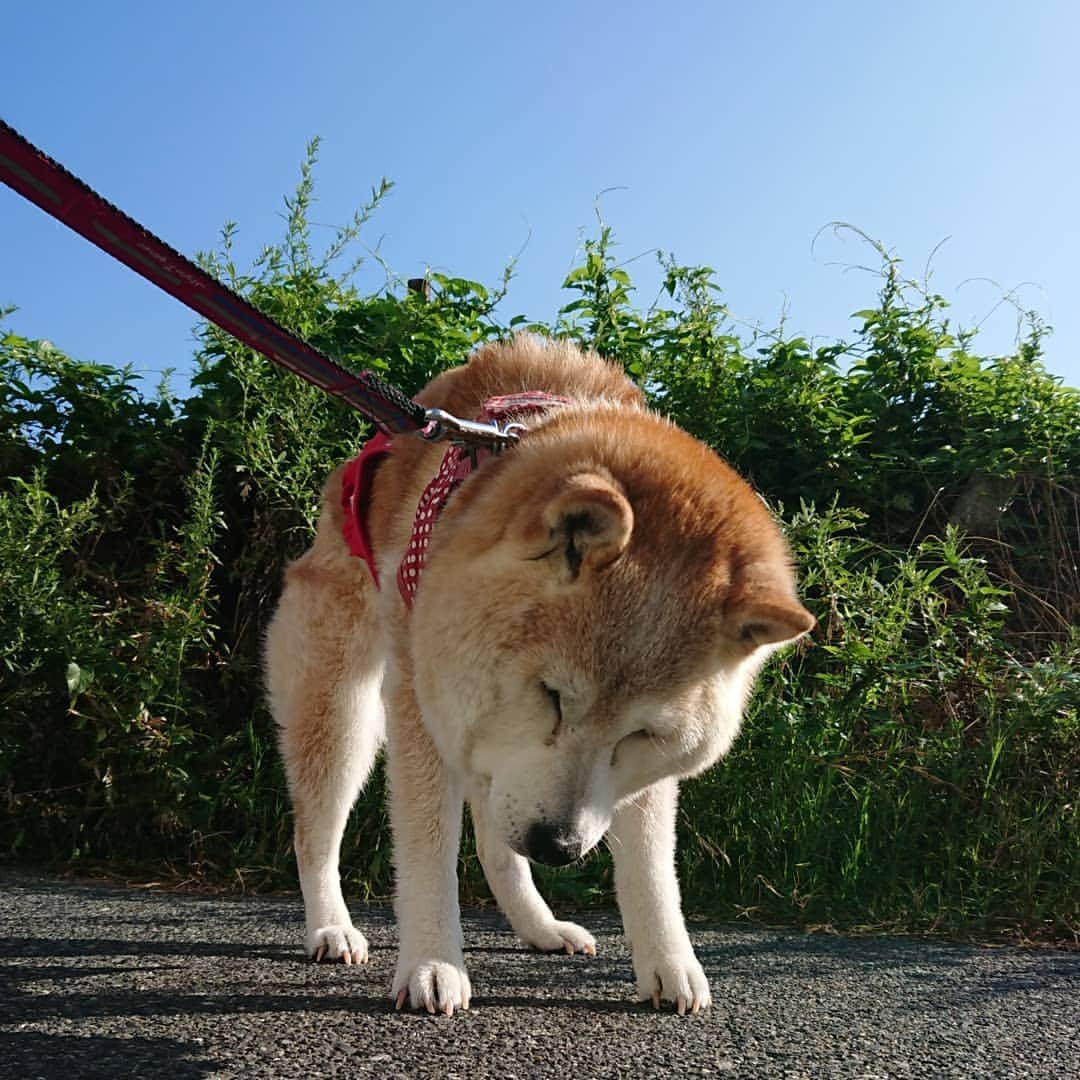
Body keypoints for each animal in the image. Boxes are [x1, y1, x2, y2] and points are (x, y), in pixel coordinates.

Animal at [265, 332, 812, 1015]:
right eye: (552, 696)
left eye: (643, 735)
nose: (558, 847)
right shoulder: (422, 700)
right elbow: (426, 849)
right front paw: (433, 962)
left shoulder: (627, 777)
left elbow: (650, 866)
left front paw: (670, 963)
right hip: (346, 714)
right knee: (315, 831)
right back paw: (331, 927)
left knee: (495, 844)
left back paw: (540, 926)